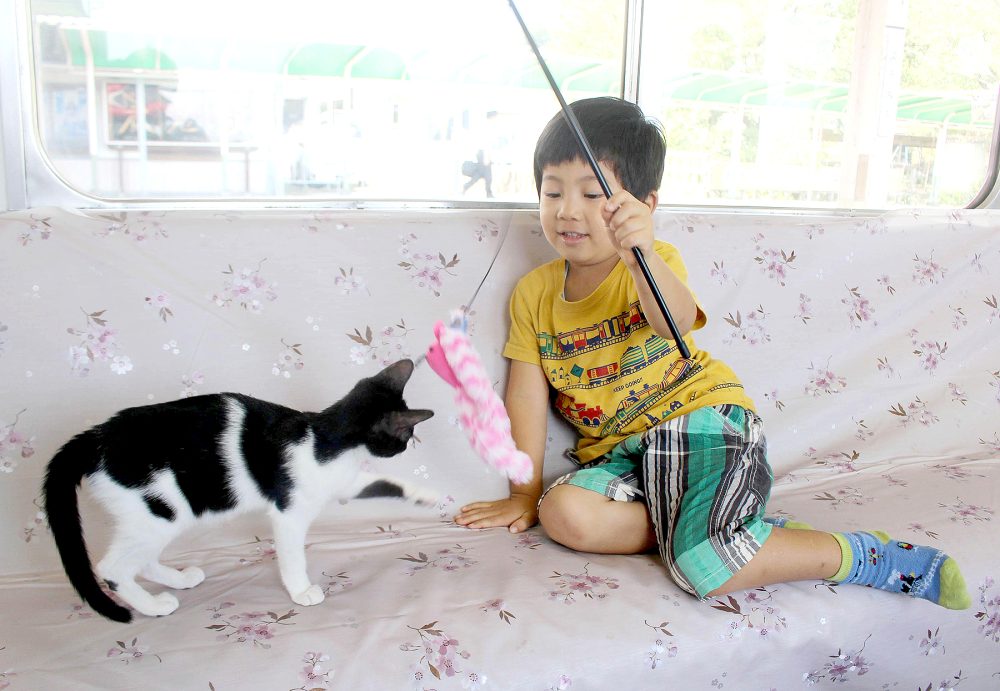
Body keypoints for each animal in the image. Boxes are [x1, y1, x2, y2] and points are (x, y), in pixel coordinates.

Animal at [44, 360, 434, 624]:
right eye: (405, 437)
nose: (409, 446)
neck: (326, 437)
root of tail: (95, 437)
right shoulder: (290, 511)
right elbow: (293, 556)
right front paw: (301, 590)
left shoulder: (341, 482)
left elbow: (379, 483)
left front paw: (424, 494)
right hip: (158, 509)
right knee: (113, 567)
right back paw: (153, 606)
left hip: (154, 516)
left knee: (140, 558)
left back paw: (179, 580)